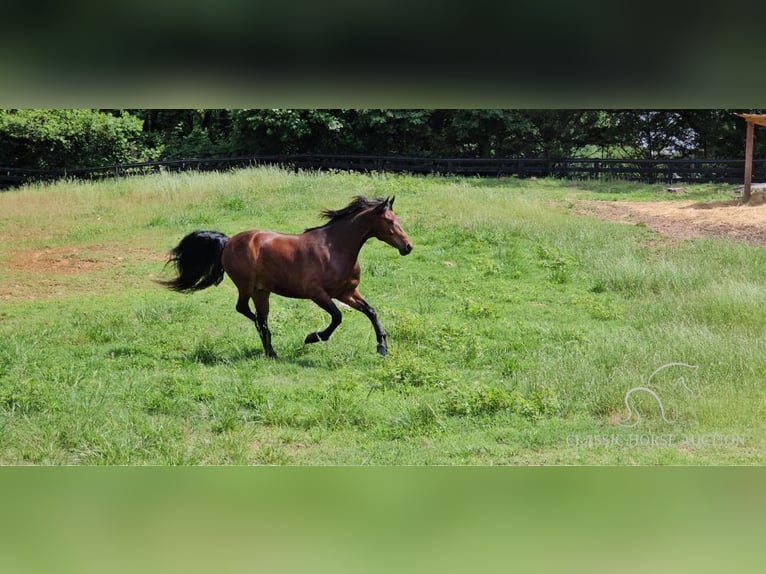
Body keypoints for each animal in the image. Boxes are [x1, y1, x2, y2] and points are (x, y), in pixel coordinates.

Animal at [160, 198, 414, 360]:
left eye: (397, 218)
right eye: (389, 221)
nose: (408, 247)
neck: (335, 249)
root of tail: (229, 241)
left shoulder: (346, 292)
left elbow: (371, 312)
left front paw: (382, 348)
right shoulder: (317, 294)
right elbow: (337, 317)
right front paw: (312, 337)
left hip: (262, 291)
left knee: (259, 316)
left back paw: (270, 351)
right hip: (247, 286)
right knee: (246, 311)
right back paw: (269, 344)